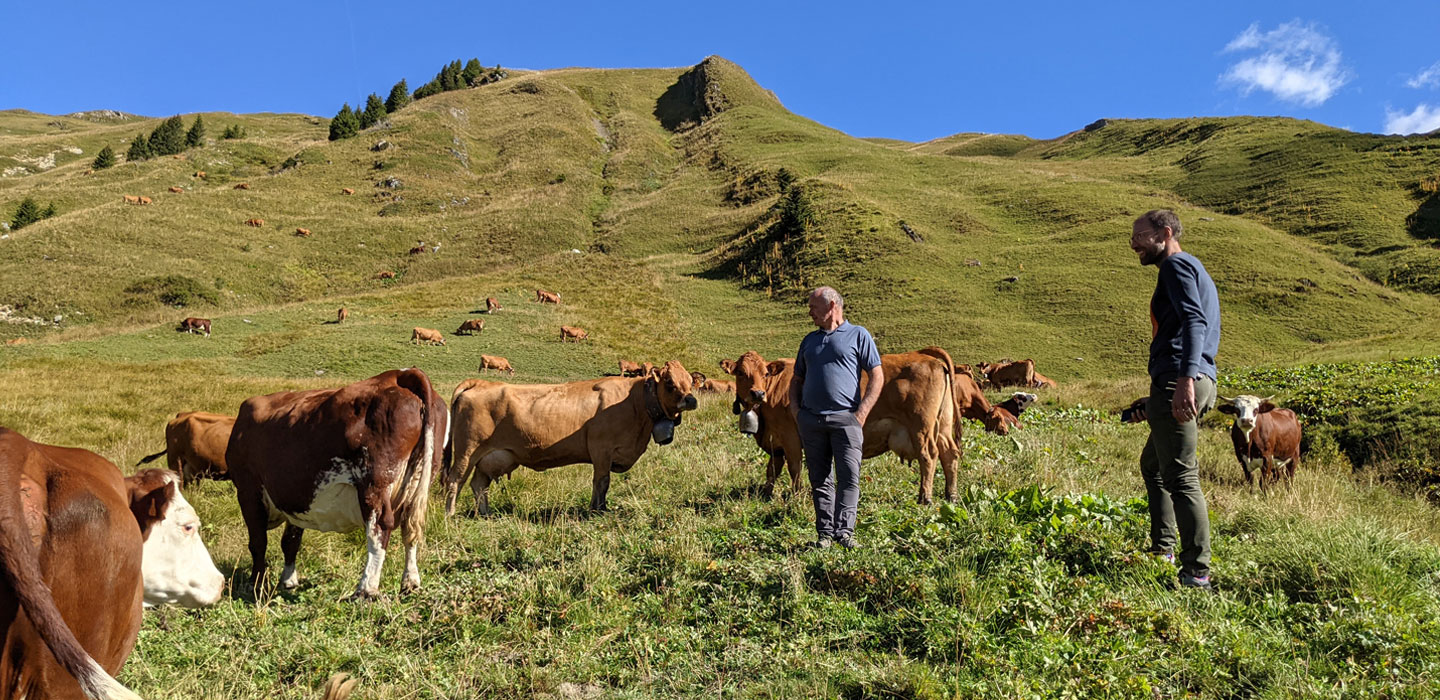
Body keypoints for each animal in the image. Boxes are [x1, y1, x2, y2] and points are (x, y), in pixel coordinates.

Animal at [224, 368, 446, 599]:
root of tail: (400, 375)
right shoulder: (295, 498)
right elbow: (290, 541)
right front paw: (288, 580)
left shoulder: (248, 489)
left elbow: (258, 542)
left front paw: (255, 584)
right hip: (419, 479)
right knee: (410, 526)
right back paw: (410, 582)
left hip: (374, 481)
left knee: (379, 526)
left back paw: (366, 589)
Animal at [446, 361, 699, 512]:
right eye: (669, 382)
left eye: (690, 380)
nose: (691, 399)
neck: (634, 401)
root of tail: (480, 383)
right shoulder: (601, 449)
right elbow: (601, 482)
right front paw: (598, 510)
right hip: (467, 451)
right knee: (455, 481)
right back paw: (450, 515)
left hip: (488, 457)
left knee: (479, 485)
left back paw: (485, 513)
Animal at [731, 345, 967, 504]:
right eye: (740, 373)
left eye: (765, 373)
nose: (757, 393)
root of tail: (924, 355)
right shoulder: (775, 443)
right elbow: (772, 469)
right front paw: (765, 493)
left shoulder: (790, 437)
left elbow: (794, 467)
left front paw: (796, 494)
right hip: (943, 425)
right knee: (949, 454)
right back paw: (951, 495)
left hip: (921, 427)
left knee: (928, 456)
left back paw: (925, 497)